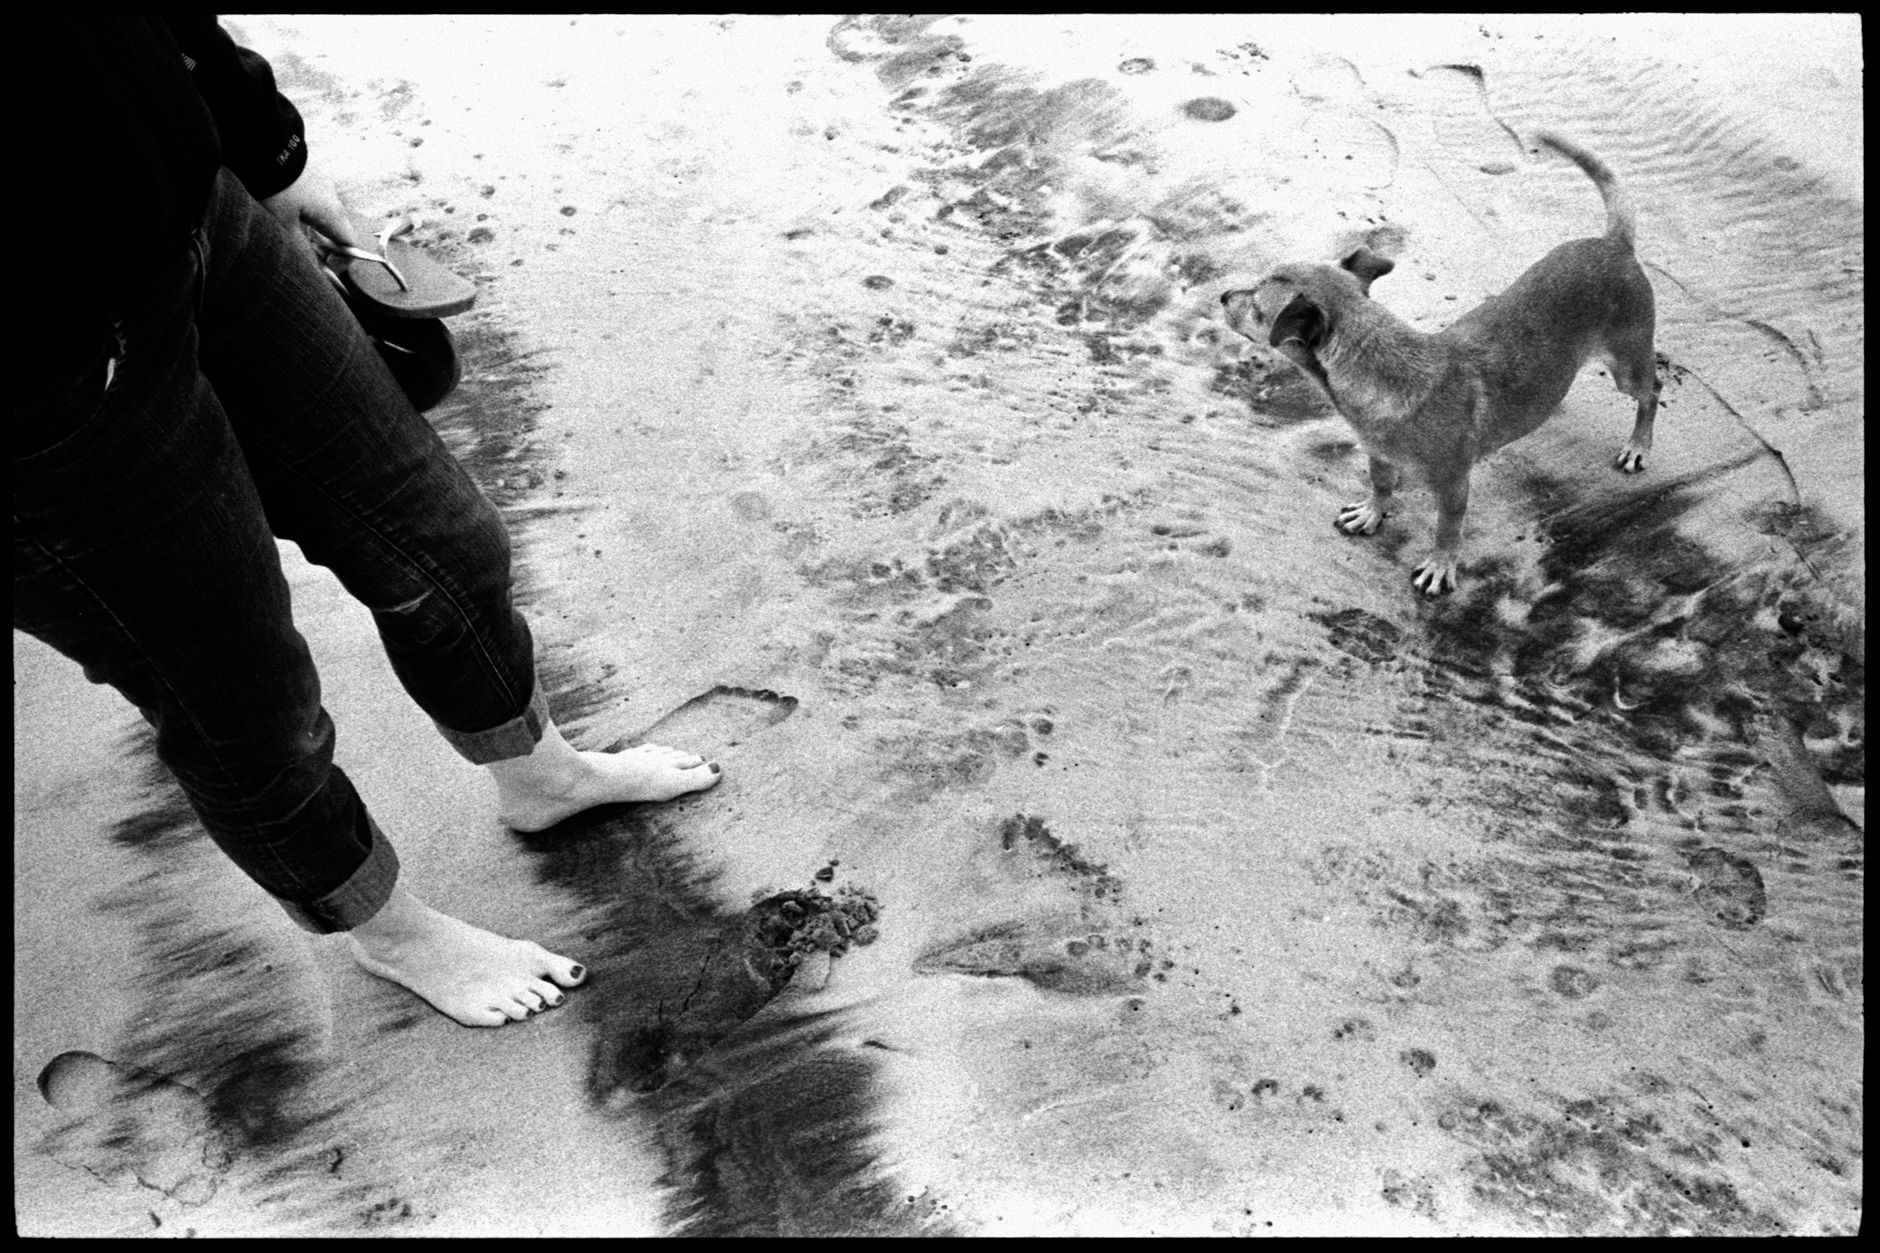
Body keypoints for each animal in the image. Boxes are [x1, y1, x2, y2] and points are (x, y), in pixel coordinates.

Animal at [1225, 134, 1654, 594]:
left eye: (1256, 307)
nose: (1222, 296)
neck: (1384, 365)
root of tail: (1615, 244)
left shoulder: (1453, 486)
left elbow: (1447, 530)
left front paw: (1440, 564)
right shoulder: (1379, 454)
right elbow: (1380, 485)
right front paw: (1373, 512)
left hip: (1627, 366)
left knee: (1652, 392)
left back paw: (1638, 445)